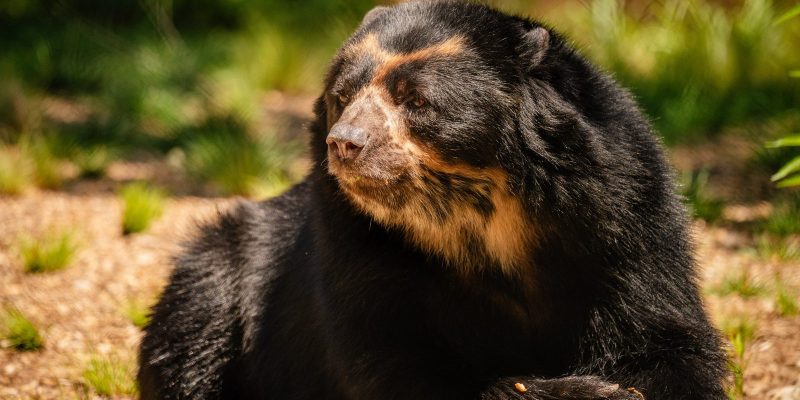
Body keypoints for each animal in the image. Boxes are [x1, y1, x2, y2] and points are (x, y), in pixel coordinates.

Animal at [138, 1, 728, 399]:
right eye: (342, 96)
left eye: (417, 100)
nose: (345, 143)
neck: (479, 221)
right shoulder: (359, 251)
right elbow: (394, 359)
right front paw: (579, 389)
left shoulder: (623, 225)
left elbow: (665, 339)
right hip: (222, 270)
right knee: (193, 333)